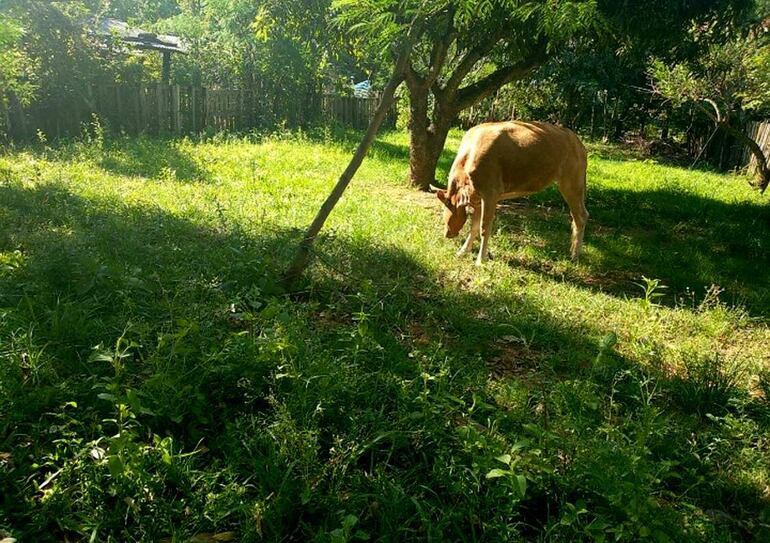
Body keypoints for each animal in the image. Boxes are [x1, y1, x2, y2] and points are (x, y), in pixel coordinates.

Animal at [432, 120, 588, 266]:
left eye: (447, 214)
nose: (447, 234)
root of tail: (576, 140)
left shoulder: (490, 194)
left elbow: (484, 228)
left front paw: (481, 260)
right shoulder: (477, 197)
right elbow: (474, 226)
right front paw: (463, 251)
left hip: (572, 184)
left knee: (581, 216)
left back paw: (575, 255)